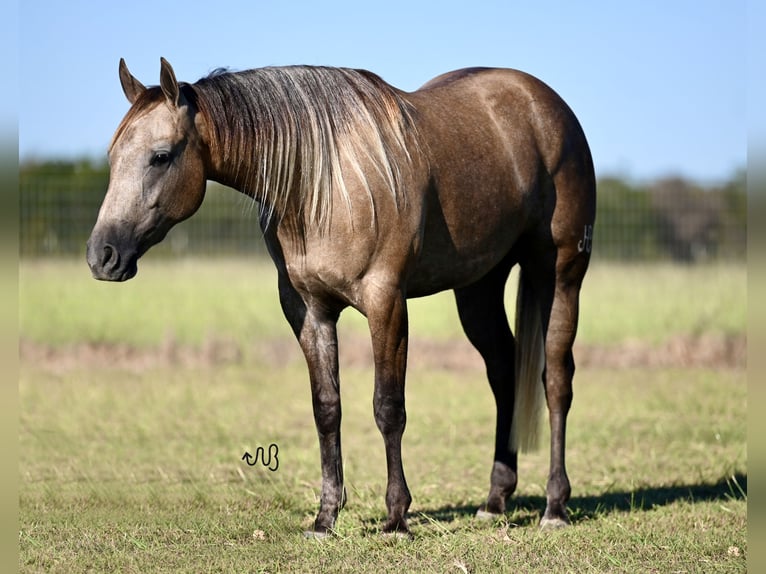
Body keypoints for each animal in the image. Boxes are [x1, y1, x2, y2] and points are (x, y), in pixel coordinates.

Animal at [85, 58, 600, 540]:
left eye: (160, 156)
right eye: (113, 156)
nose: (102, 256)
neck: (321, 182)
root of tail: (546, 104)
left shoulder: (386, 302)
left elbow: (388, 407)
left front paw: (397, 517)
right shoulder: (308, 311)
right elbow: (326, 408)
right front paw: (325, 517)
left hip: (559, 276)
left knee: (556, 379)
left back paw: (555, 507)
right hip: (479, 287)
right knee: (504, 373)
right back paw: (495, 500)